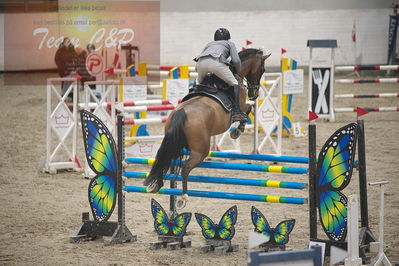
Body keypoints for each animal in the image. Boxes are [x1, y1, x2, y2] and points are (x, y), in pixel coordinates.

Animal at [142, 48, 270, 209]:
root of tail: (180, 113)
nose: (254, 94)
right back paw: (183, 198)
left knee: (165, 160)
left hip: (173, 143)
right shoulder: (241, 106)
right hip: (200, 151)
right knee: (185, 167)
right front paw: (237, 131)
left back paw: (156, 185)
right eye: (262, 69)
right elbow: (248, 110)